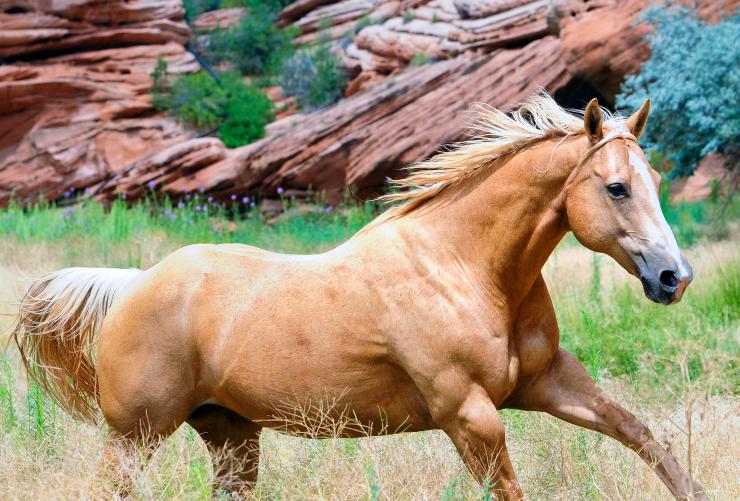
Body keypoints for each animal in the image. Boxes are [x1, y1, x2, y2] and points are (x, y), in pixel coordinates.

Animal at [13, 93, 704, 500]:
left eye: (654, 178)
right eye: (616, 187)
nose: (675, 277)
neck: (464, 267)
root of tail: (132, 282)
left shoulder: (550, 383)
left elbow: (645, 437)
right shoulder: (469, 414)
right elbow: (509, 490)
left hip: (231, 436)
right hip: (135, 435)